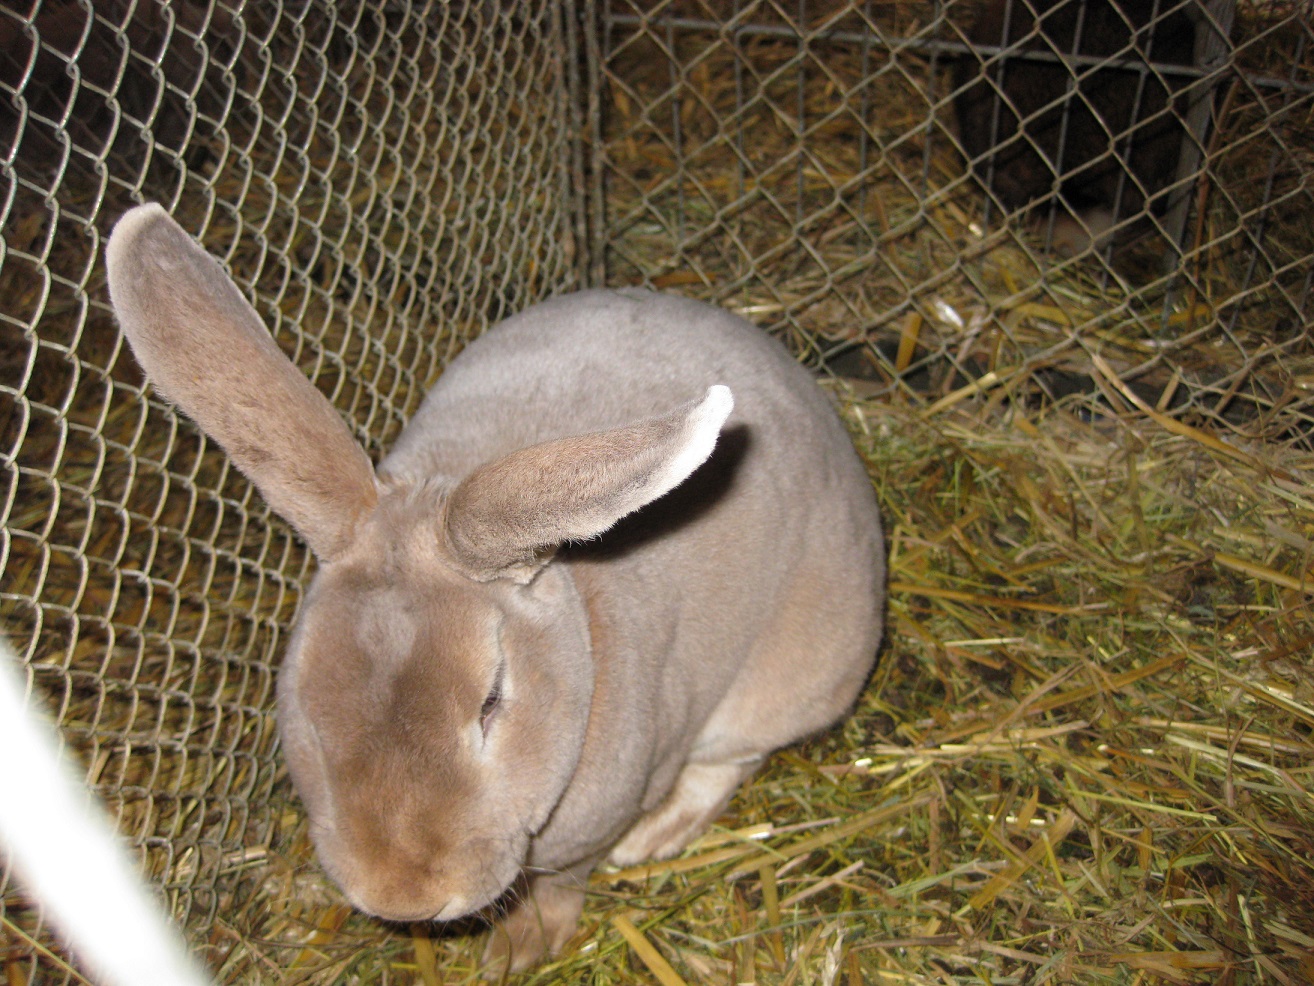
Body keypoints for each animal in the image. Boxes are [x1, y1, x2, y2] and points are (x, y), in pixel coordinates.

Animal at [104, 203, 885, 974]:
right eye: (306, 699)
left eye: (491, 701)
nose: (404, 897)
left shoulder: (595, 825)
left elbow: (564, 884)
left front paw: (519, 950)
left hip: (784, 682)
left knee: (730, 762)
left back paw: (655, 838)